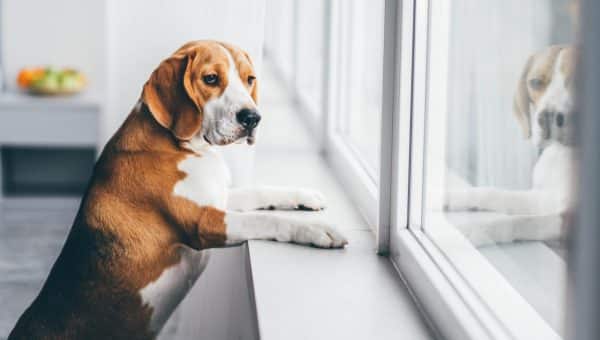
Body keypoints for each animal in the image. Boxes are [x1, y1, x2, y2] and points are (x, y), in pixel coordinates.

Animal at [8, 40, 346, 340]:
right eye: (211, 79)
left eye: (250, 79)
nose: (252, 118)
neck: (184, 146)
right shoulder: (204, 222)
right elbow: (264, 219)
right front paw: (318, 230)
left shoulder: (219, 198)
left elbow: (260, 192)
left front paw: (305, 196)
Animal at [448, 45, 580, 246]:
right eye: (535, 82)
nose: (547, 117)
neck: (564, 154)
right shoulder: (545, 197)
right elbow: (494, 194)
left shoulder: (568, 221)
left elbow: (520, 222)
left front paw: (472, 231)